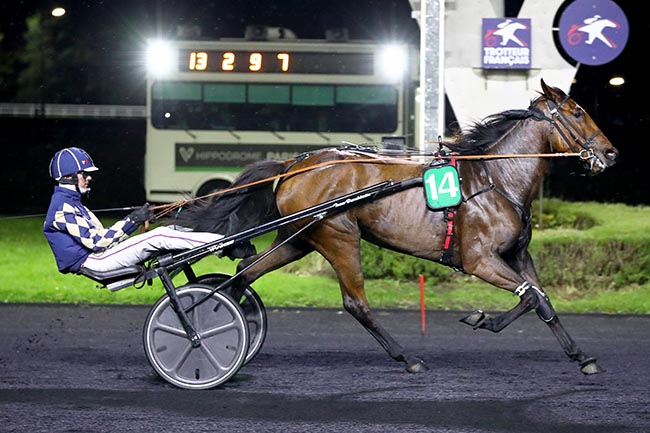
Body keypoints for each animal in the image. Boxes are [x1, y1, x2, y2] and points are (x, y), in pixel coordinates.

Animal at [172, 80, 616, 374]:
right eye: (578, 112)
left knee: (242, 276)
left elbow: (539, 299)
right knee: (355, 303)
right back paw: (407, 357)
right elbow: (534, 298)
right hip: (339, 236)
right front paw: (484, 320)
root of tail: (294, 165)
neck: (497, 179)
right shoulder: (480, 260)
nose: (611, 152)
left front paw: (581, 356)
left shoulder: (517, 255)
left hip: (298, 239)